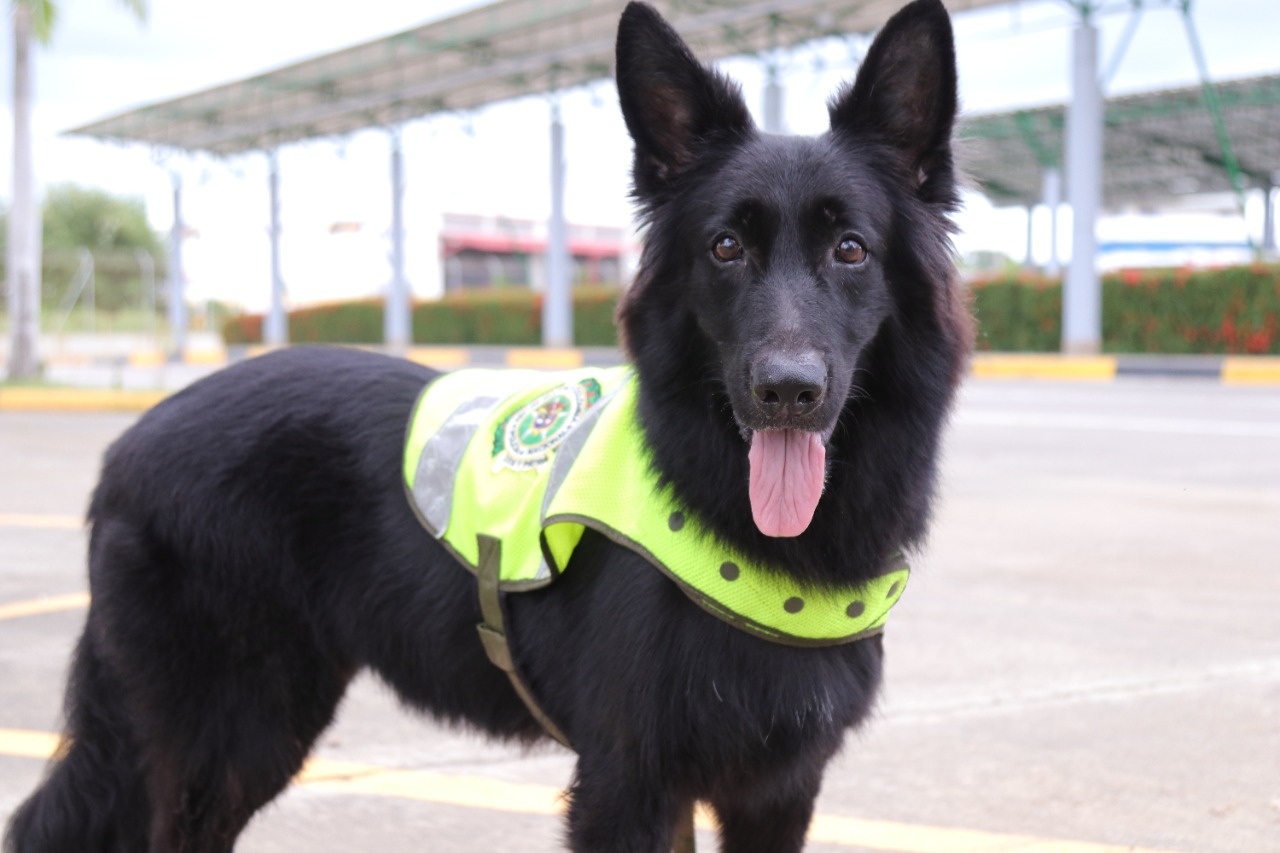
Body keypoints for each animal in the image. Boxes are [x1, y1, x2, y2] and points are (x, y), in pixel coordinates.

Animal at [5, 3, 967, 845]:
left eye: (851, 249)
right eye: (725, 248)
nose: (787, 391)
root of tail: (127, 442)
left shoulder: (775, 791)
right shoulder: (629, 785)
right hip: (232, 734)